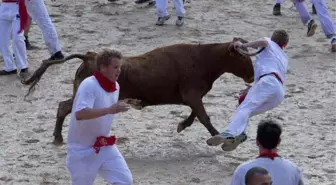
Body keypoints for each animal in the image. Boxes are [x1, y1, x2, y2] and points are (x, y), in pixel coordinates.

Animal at [22, 37, 258, 145]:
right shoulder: (192, 95)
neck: (203, 59)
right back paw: (58, 137)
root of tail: (90, 56)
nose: (252, 77)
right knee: (64, 107)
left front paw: (182, 125)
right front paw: (221, 139)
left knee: (63, 107)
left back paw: (59, 137)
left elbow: (196, 115)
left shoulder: (192, 97)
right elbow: (204, 117)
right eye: (243, 57)